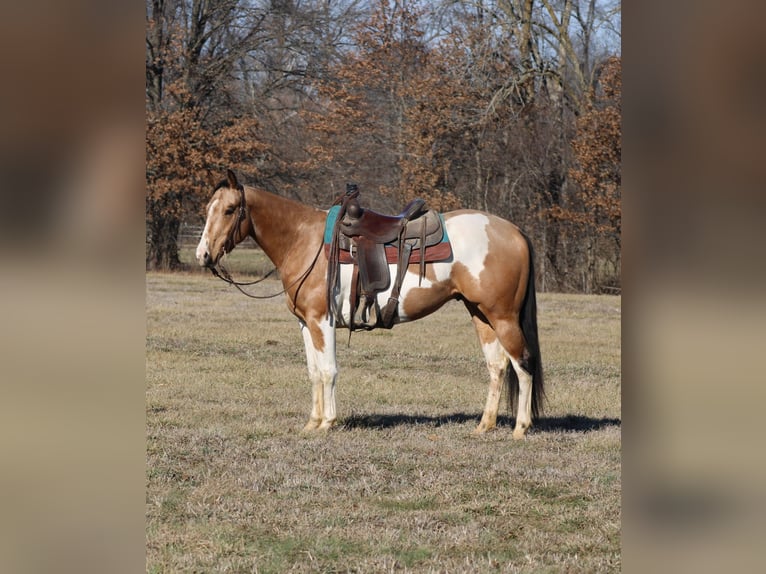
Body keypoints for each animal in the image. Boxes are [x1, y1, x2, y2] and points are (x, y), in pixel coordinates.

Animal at [196, 170, 544, 439]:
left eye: (230, 210)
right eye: (208, 209)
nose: (203, 255)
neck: (303, 241)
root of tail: (514, 231)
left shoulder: (322, 320)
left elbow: (328, 370)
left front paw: (327, 422)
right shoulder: (305, 323)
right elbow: (313, 372)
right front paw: (312, 422)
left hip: (503, 317)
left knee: (523, 364)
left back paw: (520, 428)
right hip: (481, 315)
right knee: (497, 366)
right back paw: (484, 425)